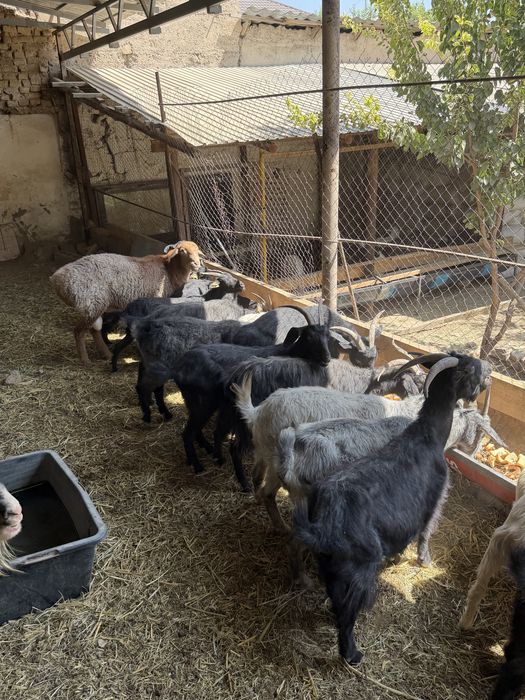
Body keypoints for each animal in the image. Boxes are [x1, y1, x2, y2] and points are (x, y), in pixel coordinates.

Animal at [49, 241, 203, 364]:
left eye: (197, 251)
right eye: (182, 251)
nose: (197, 264)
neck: (169, 270)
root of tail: (57, 280)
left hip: (94, 306)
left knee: (94, 331)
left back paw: (107, 354)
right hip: (91, 303)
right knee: (79, 332)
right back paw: (85, 360)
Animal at [293, 352, 491, 664]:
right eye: (470, 368)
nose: (485, 380)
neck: (427, 436)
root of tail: (325, 523)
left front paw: (398, 557)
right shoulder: (434, 498)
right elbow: (425, 532)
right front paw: (424, 560)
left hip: (330, 563)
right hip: (359, 566)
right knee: (347, 611)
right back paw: (352, 654)